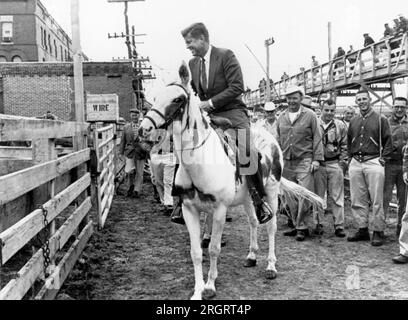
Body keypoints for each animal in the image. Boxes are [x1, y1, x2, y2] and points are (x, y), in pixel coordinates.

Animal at [139, 63, 324, 300]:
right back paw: (252, 256)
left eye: (177, 99)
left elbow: (214, 248)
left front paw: (210, 286)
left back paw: (271, 266)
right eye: (156, 97)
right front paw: (198, 290)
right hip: (248, 198)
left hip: (272, 193)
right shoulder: (190, 210)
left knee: (271, 227)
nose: (144, 129)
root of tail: (270, 138)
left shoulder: (219, 210)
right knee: (254, 222)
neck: (201, 161)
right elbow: (196, 252)